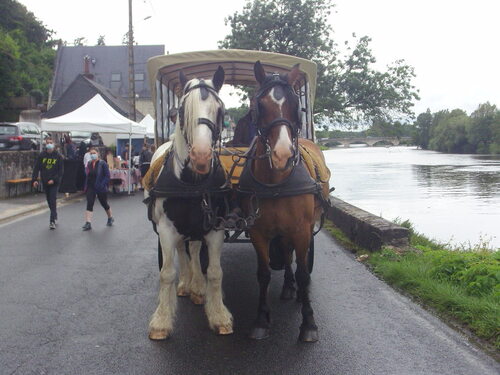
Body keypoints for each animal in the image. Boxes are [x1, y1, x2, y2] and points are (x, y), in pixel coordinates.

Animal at [144, 67, 231, 340]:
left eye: (220, 110)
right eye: (182, 111)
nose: (201, 157)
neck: (194, 184)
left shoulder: (215, 229)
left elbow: (215, 272)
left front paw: (219, 315)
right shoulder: (166, 229)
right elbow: (167, 273)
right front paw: (161, 321)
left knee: (192, 249)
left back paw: (197, 287)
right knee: (183, 253)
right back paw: (186, 284)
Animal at [241, 61, 328, 344]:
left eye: (295, 104)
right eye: (259, 105)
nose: (282, 155)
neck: (277, 182)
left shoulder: (301, 230)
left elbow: (303, 272)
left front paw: (308, 323)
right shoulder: (257, 231)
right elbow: (264, 273)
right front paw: (261, 319)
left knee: (294, 259)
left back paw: (296, 291)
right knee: (286, 253)